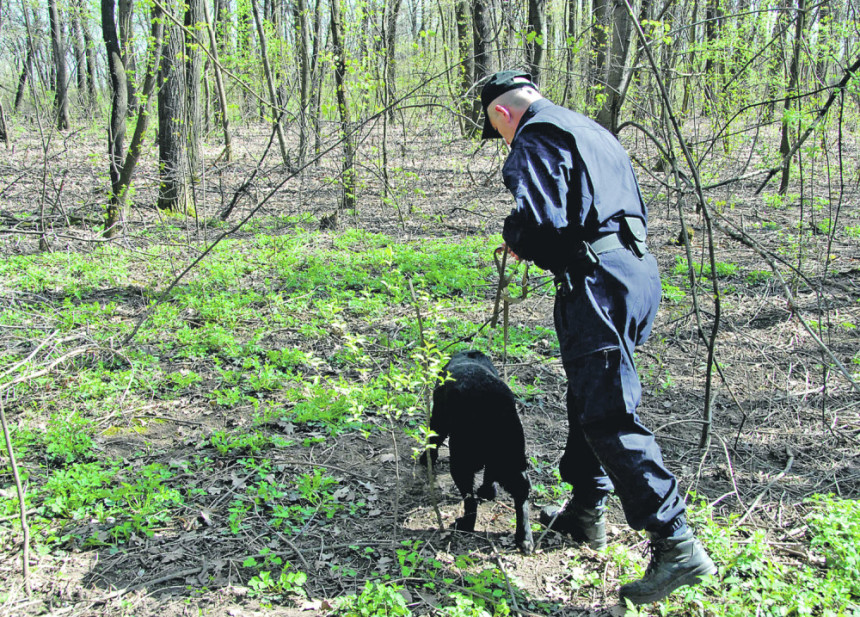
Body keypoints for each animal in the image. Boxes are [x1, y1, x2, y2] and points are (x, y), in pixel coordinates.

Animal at [418, 348, 532, 552]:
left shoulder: (439, 419)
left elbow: (432, 441)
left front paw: (426, 458)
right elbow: (489, 477)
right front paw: (488, 492)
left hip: (460, 459)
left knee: (470, 500)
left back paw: (466, 525)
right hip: (512, 460)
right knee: (521, 493)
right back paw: (524, 538)